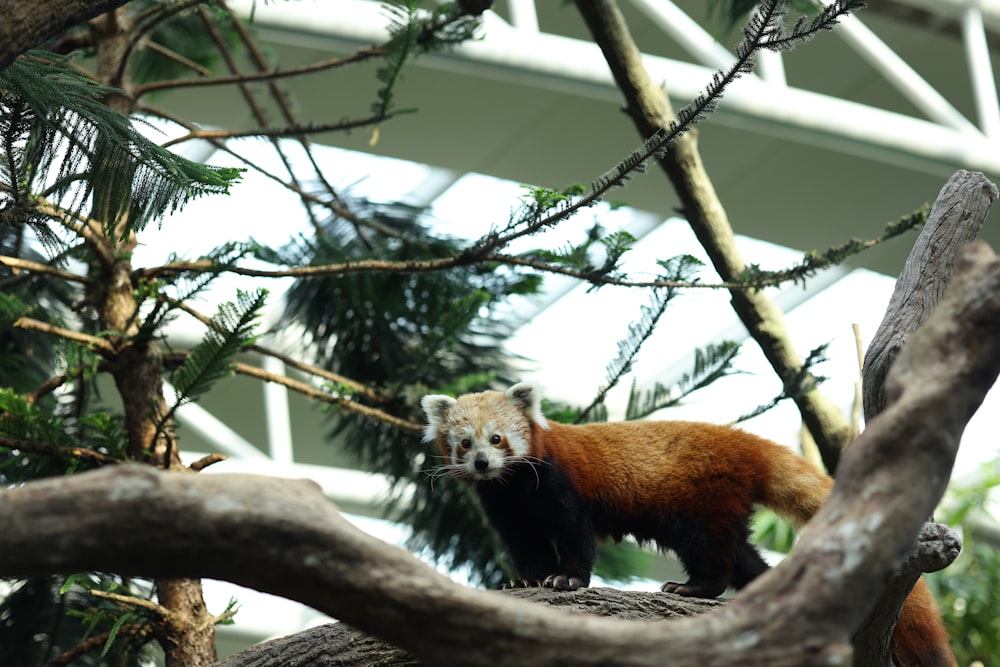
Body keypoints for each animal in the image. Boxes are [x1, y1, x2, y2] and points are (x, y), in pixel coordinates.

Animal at [418, 380, 956, 667]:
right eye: (464, 443)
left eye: (497, 439)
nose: (482, 463)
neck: (514, 487)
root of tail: (747, 443)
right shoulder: (506, 507)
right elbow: (523, 542)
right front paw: (524, 579)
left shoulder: (561, 486)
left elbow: (575, 535)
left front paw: (567, 578)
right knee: (743, 555)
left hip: (701, 501)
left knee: (712, 552)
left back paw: (695, 588)